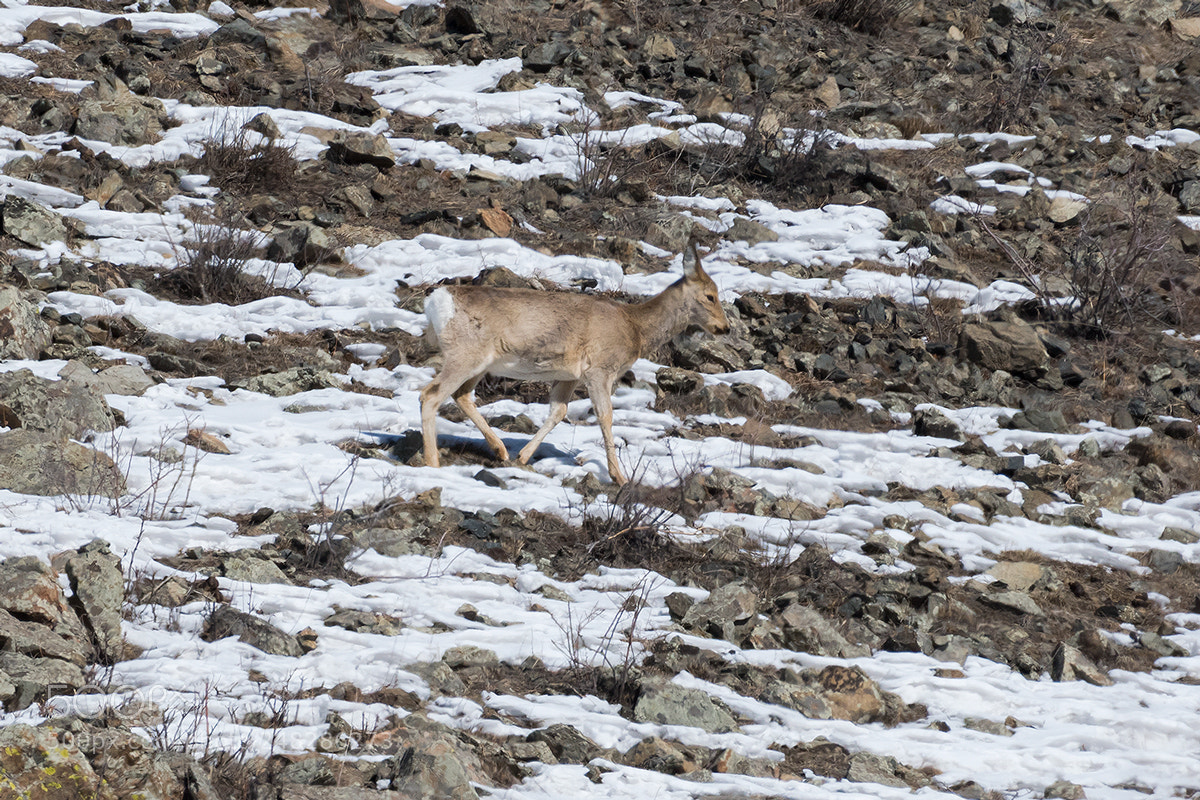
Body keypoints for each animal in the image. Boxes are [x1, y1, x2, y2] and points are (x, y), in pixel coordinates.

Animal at [419, 241, 731, 485]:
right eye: (710, 296)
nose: (725, 327)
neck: (635, 328)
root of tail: (437, 300)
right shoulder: (599, 369)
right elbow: (605, 416)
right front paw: (619, 477)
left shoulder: (568, 375)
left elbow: (558, 412)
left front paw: (523, 456)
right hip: (465, 354)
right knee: (430, 395)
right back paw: (433, 463)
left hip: (480, 363)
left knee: (461, 395)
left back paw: (500, 450)